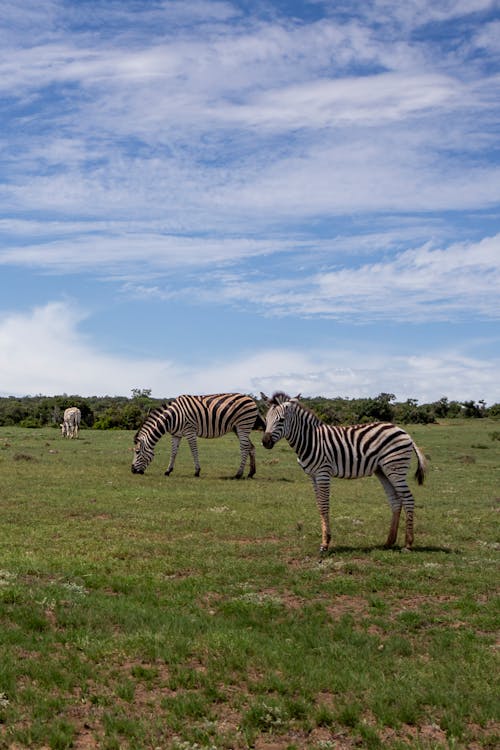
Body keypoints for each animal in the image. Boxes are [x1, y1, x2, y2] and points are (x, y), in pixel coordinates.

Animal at [132, 396, 266, 478]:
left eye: (137, 452)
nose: (132, 471)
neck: (172, 417)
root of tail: (251, 399)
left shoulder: (190, 431)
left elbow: (194, 451)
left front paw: (197, 471)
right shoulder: (176, 434)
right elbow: (173, 452)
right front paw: (168, 470)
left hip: (243, 426)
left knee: (244, 448)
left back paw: (238, 474)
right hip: (238, 428)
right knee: (251, 447)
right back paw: (251, 473)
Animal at [260, 396, 428, 556]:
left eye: (281, 420)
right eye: (266, 420)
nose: (265, 442)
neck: (311, 440)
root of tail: (403, 431)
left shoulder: (323, 473)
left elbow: (324, 505)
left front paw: (325, 544)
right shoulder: (312, 476)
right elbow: (319, 506)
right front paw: (325, 541)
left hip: (395, 467)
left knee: (408, 499)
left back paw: (408, 544)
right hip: (383, 470)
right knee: (395, 500)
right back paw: (389, 542)